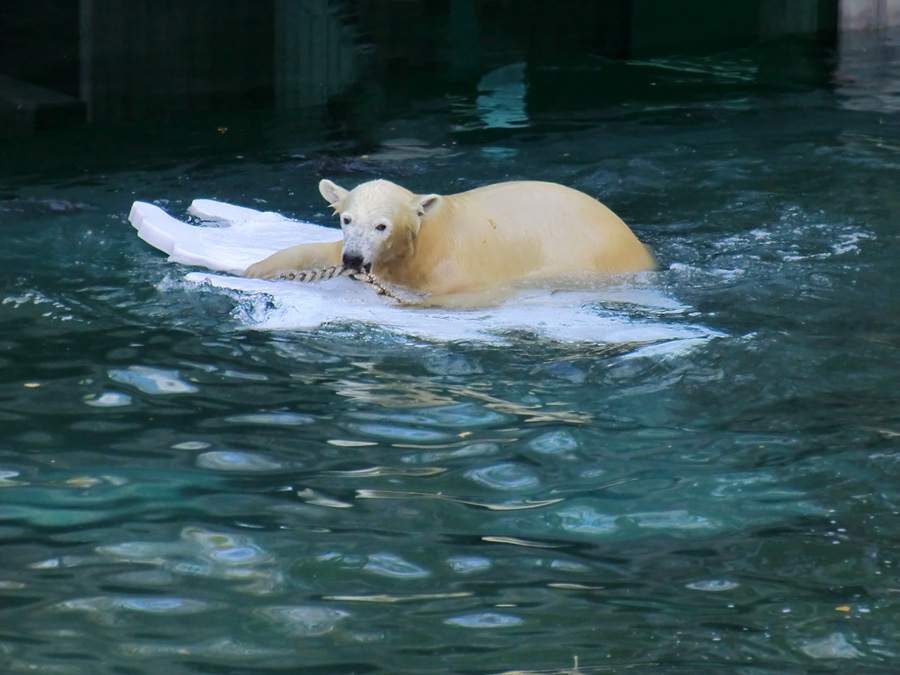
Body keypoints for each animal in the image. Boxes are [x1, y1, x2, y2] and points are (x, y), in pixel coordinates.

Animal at [243, 180, 656, 296]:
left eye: (382, 226)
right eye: (347, 219)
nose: (354, 260)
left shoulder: (456, 267)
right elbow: (315, 250)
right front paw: (254, 270)